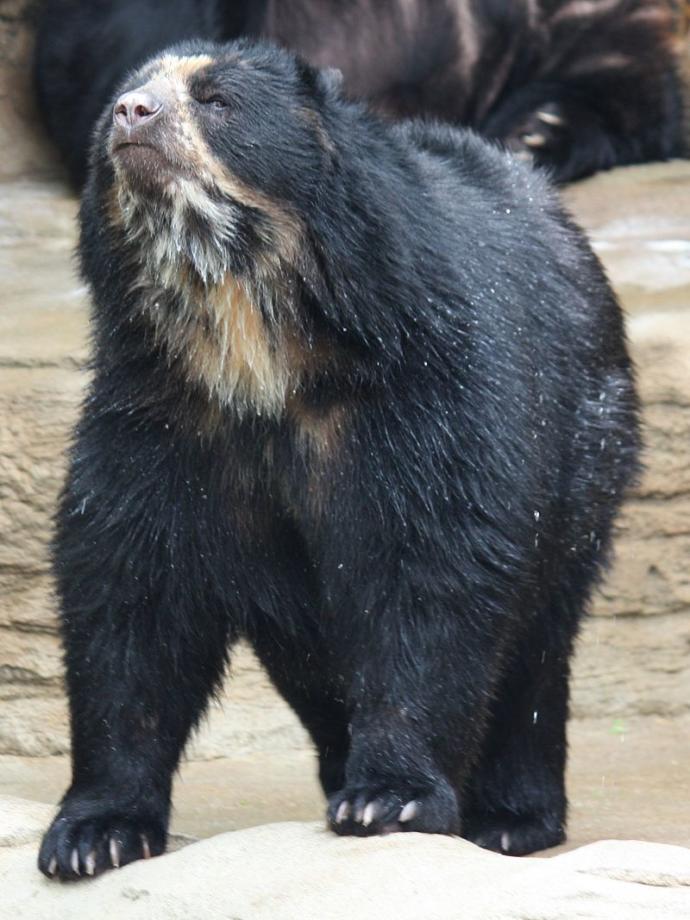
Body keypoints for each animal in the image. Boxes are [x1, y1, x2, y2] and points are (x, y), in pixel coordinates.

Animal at [38, 39, 640, 880]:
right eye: (121, 100)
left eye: (217, 100)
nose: (132, 114)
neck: (252, 337)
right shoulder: (158, 415)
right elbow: (130, 590)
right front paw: (94, 835)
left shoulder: (421, 391)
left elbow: (431, 569)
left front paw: (392, 800)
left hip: (588, 445)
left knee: (538, 636)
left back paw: (512, 817)